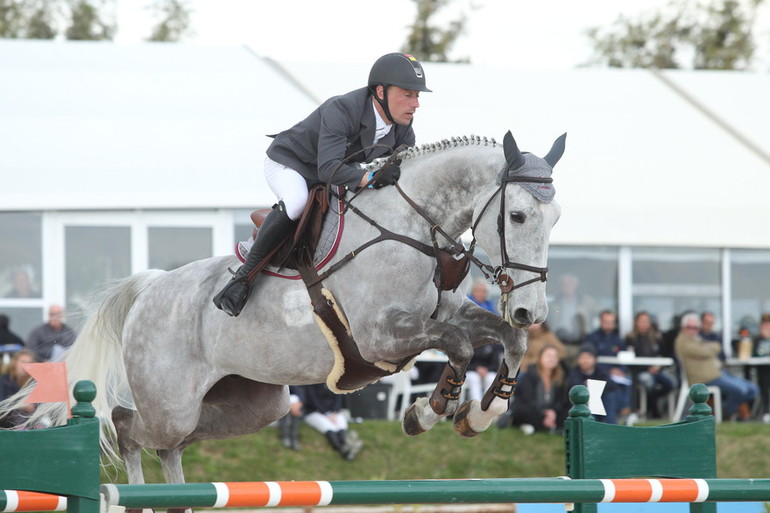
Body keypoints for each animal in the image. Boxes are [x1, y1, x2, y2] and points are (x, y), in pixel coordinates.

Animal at [1, 130, 564, 486]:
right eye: (516, 216)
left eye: (556, 217)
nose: (530, 311)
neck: (412, 228)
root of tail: (152, 288)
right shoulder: (381, 337)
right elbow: (461, 346)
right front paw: (425, 413)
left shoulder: (445, 315)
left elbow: (503, 340)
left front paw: (483, 414)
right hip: (172, 403)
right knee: (127, 426)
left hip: (253, 405)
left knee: (171, 444)